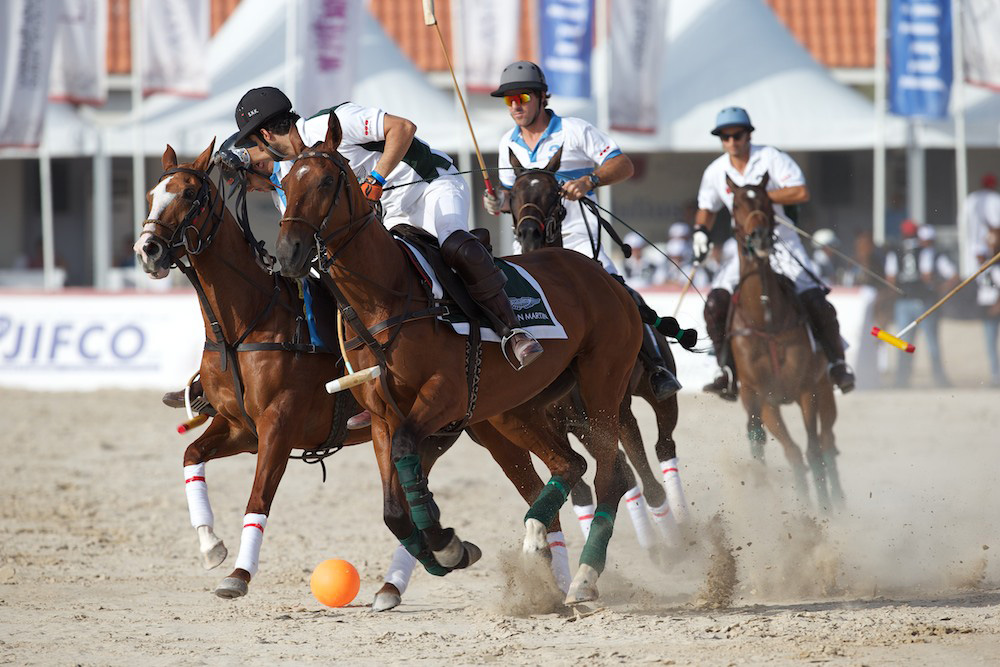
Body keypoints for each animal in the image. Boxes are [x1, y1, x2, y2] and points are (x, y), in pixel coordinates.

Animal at [134, 141, 572, 604]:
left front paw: (238, 573)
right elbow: (191, 455)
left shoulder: (278, 423)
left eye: (188, 194)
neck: (246, 324)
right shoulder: (239, 426)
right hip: (456, 429)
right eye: (151, 195)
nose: (148, 249)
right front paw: (210, 545)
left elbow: (258, 498)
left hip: (494, 420)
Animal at [272, 112, 640, 604]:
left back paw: (583, 577)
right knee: (570, 465)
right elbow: (392, 509)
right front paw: (449, 549)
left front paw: (445, 544)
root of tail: (604, 275)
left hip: (601, 387)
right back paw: (538, 540)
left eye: (328, 180)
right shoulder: (383, 415)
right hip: (512, 409)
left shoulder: (445, 393)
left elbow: (408, 452)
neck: (384, 298)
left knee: (608, 475)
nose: (289, 253)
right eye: (285, 182)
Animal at [512, 146, 692, 544]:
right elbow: (583, 488)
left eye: (555, 195)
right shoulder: (558, 424)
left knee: (662, 448)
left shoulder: (616, 412)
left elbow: (641, 478)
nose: (529, 234)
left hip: (653, 395)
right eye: (511, 194)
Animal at [728, 174, 844, 512]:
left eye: (767, 202)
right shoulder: (765, 398)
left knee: (827, 441)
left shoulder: (807, 390)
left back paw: (839, 502)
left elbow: (813, 450)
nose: (760, 239)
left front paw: (824, 509)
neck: (765, 319)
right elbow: (793, 453)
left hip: (825, 388)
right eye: (735, 204)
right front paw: (807, 511)